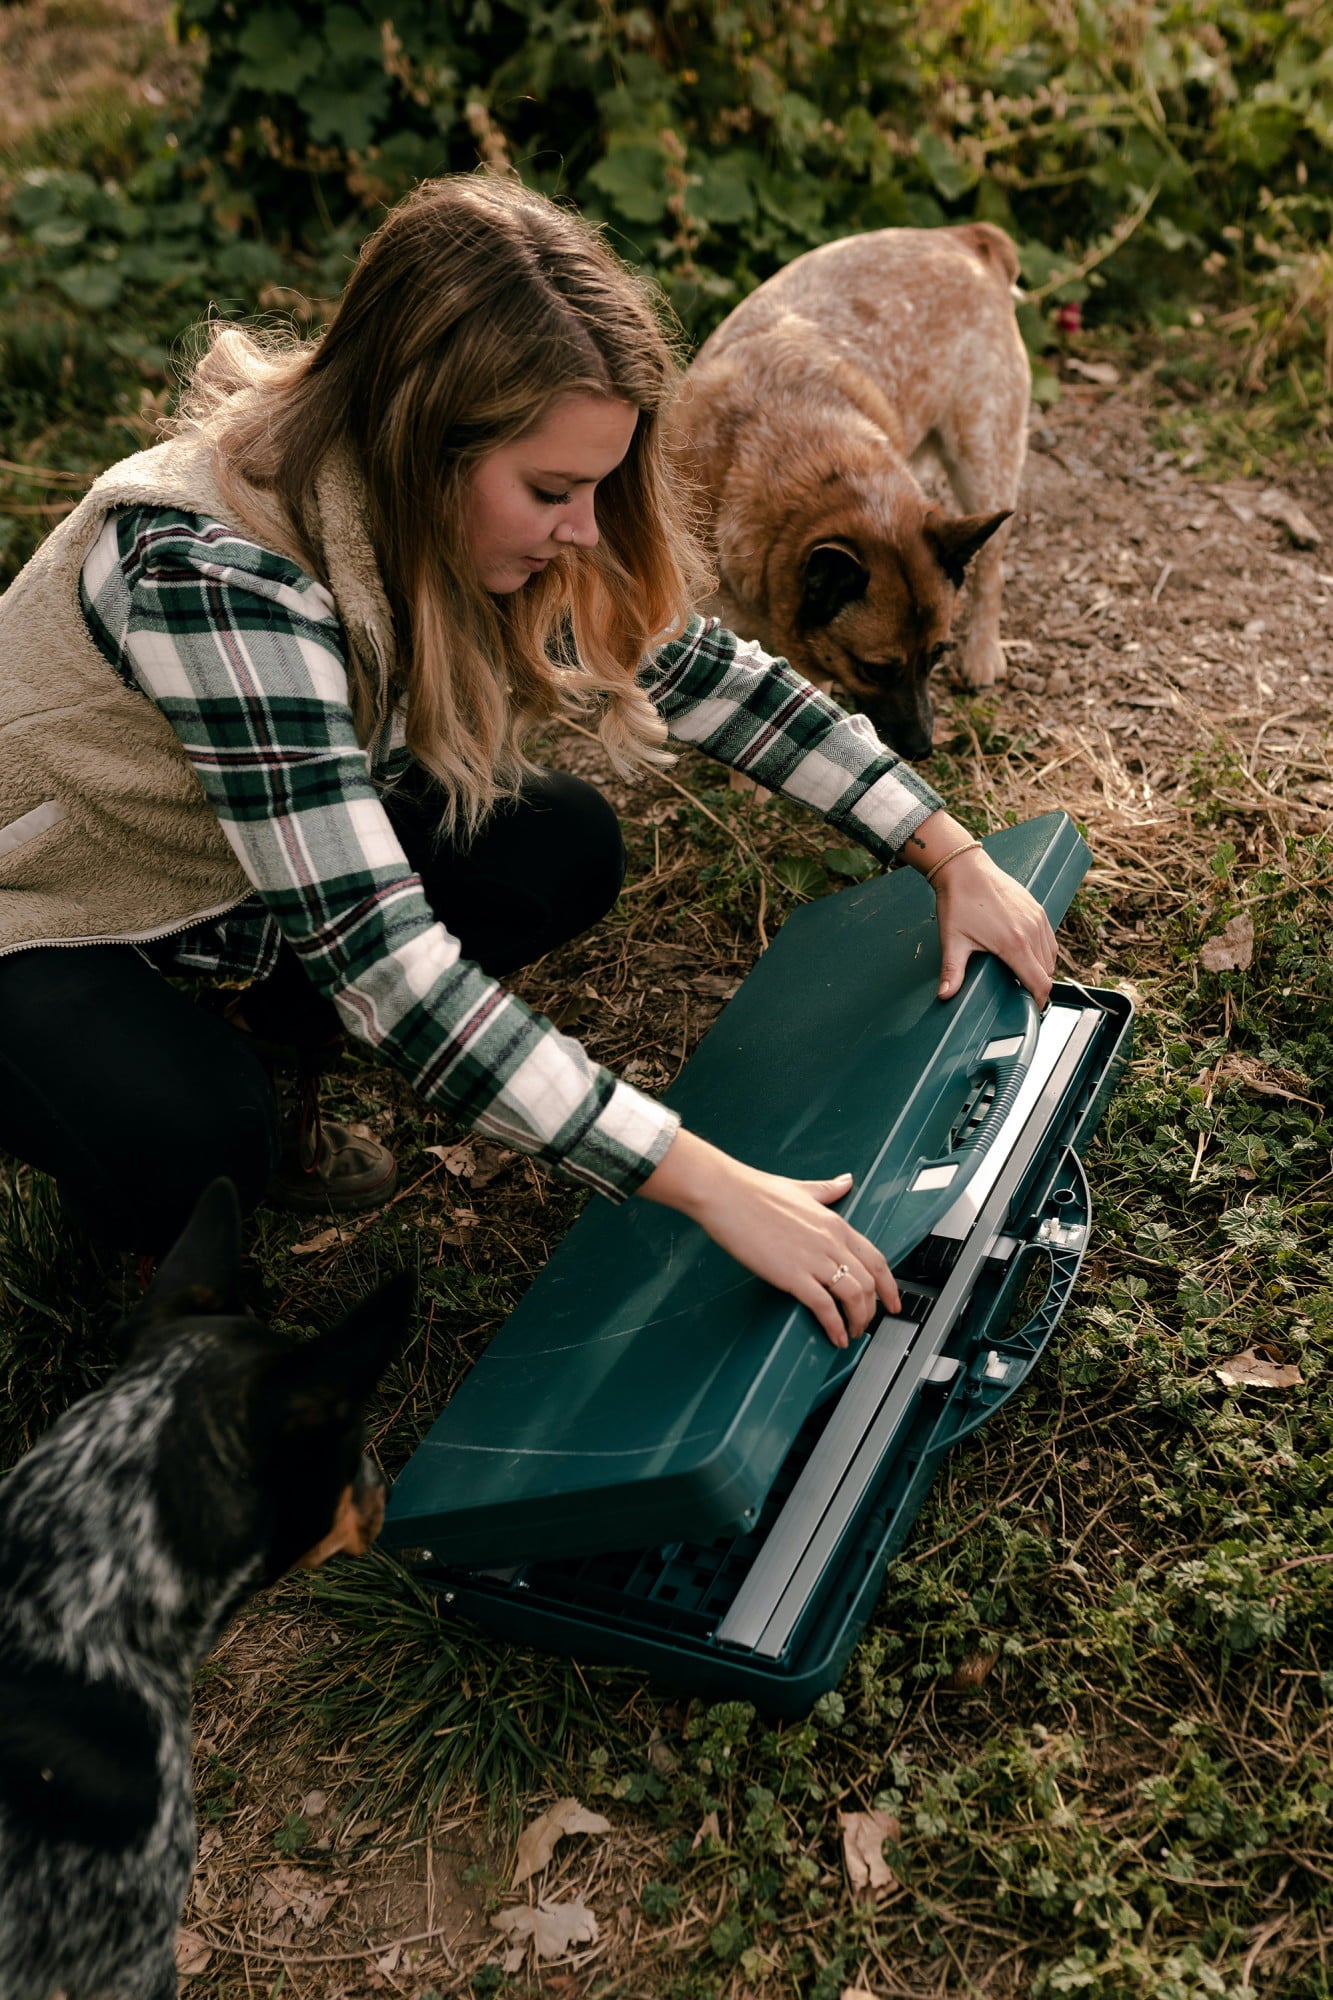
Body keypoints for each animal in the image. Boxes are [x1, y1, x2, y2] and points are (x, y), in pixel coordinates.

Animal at [676, 223, 1024, 760]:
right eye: (875, 669)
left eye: (936, 655)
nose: (922, 750)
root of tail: (966, 238)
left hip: (984, 466)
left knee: (991, 569)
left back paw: (983, 654)